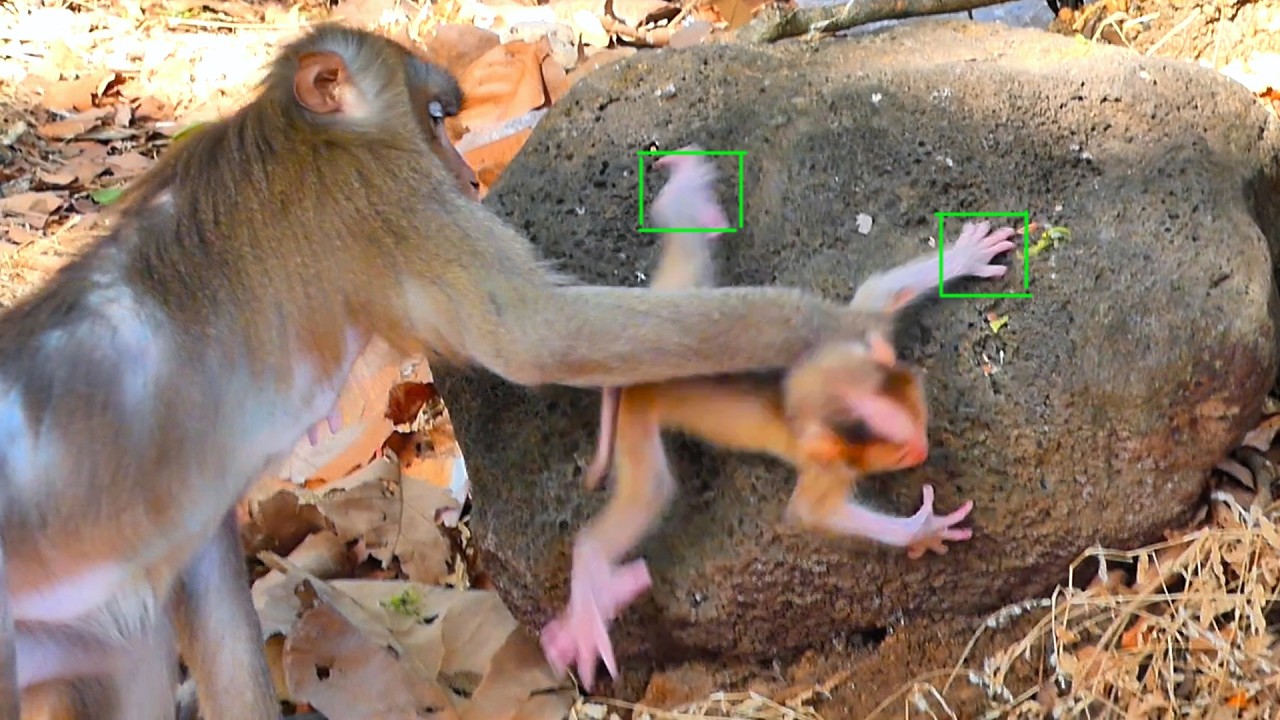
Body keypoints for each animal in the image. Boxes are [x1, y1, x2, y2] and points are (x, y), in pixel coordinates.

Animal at [0, 23, 958, 719]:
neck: (295, 131)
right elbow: (540, 337)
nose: (467, 176)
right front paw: (837, 329)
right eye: (434, 118)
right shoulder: (388, 203)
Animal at [544, 155, 1016, 689]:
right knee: (648, 493)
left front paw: (961, 258)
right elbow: (809, 513)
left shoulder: (853, 333)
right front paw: (923, 530)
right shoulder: (828, 462)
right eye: (898, 449)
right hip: (640, 406)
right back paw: (589, 591)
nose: (921, 448)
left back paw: (684, 200)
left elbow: (875, 292)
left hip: (668, 314)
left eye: (918, 414)